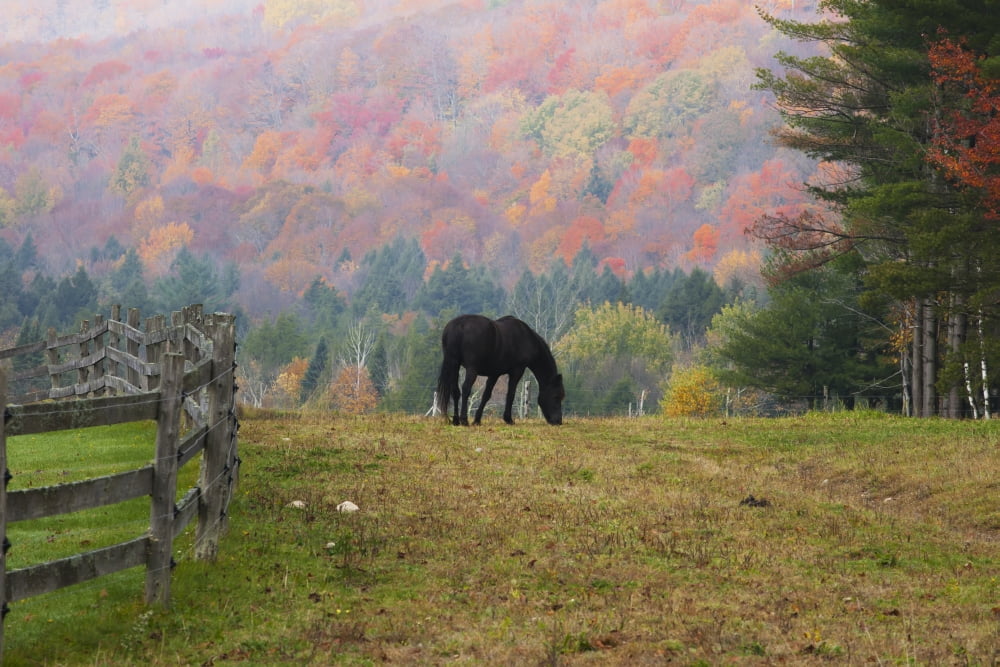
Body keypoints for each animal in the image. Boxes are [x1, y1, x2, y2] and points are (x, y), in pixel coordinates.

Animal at [435, 314, 564, 426]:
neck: (526, 338)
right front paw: (508, 419)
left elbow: (486, 395)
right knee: (466, 388)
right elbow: (511, 393)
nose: (558, 421)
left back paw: (456, 420)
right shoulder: (517, 370)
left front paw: (477, 420)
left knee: (455, 391)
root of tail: (459, 324)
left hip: (454, 365)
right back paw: (464, 420)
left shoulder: (494, 374)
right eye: (556, 396)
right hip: (472, 369)